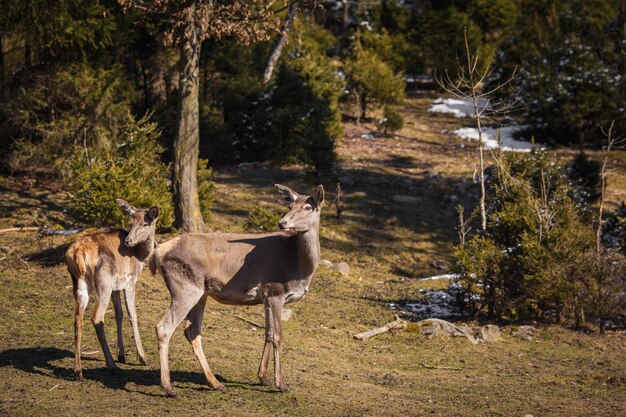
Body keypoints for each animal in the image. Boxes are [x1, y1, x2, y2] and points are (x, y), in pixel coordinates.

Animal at [65, 200, 158, 378]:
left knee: (77, 317)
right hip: (103, 283)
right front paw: (142, 357)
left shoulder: (116, 286)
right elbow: (132, 314)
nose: (128, 240)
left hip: (79, 282)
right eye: (131, 222)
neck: (140, 255)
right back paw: (111, 366)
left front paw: (121, 355)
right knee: (96, 317)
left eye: (145, 223)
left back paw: (78, 370)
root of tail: (78, 253)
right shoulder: (129, 282)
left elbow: (119, 314)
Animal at [151, 184, 324, 394]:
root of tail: (158, 252)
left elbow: (267, 333)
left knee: (192, 331)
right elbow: (278, 336)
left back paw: (215, 382)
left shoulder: (266, 295)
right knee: (164, 327)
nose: (283, 222)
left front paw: (263, 377)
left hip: (200, 293)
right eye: (290, 205)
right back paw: (168, 387)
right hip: (184, 288)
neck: (300, 268)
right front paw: (281, 384)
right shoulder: (276, 291)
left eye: (307, 207)